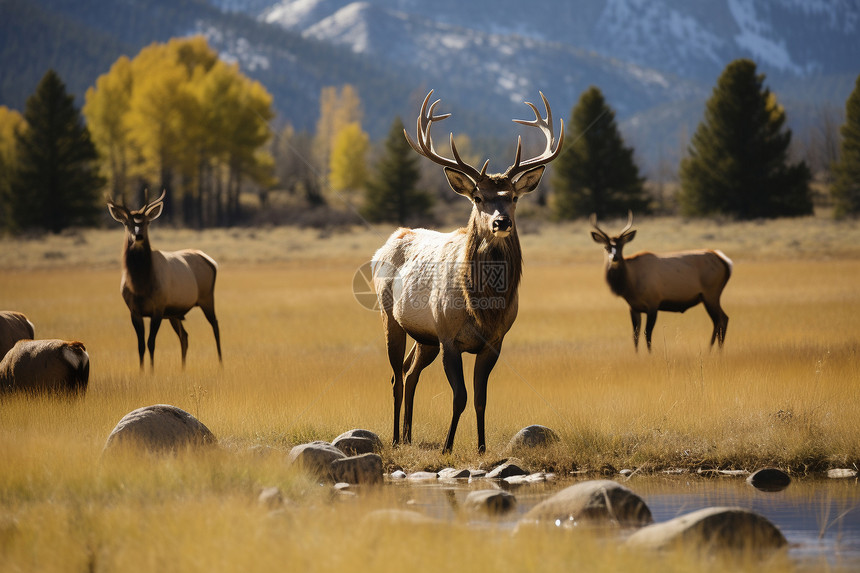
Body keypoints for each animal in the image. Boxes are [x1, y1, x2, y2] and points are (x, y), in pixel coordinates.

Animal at [107, 190, 223, 368]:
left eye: (147, 222)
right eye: (127, 223)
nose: (138, 236)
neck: (140, 285)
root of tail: (210, 260)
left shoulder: (158, 308)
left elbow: (151, 343)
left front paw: (152, 370)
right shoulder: (134, 311)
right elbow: (140, 346)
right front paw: (141, 371)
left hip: (206, 298)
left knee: (215, 326)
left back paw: (220, 364)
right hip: (175, 313)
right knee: (185, 336)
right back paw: (182, 368)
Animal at [372, 91, 564, 454]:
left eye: (513, 196)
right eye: (477, 196)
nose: (501, 222)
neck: (482, 308)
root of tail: (389, 241)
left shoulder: (495, 341)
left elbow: (480, 398)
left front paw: (482, 448)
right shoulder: (449, 336)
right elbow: (459, 396)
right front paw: (447, 447)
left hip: (425, 336)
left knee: (410, 372)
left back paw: (408, 436)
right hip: (391, 317)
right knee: (394, 376)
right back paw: (394, 438)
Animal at [592, 211, 732, 350]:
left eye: (621, 246)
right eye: (606, 247)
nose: (614, 257)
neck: (630, 284)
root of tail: (724, 261)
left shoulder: (653, 303)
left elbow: (647, 333)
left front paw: (650, 353)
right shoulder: (633, 307)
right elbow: (635, 335)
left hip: (711, 294)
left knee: (719, 320)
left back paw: (711, 349)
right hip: (710, 296)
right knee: (722, 319)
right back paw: (717, 350)